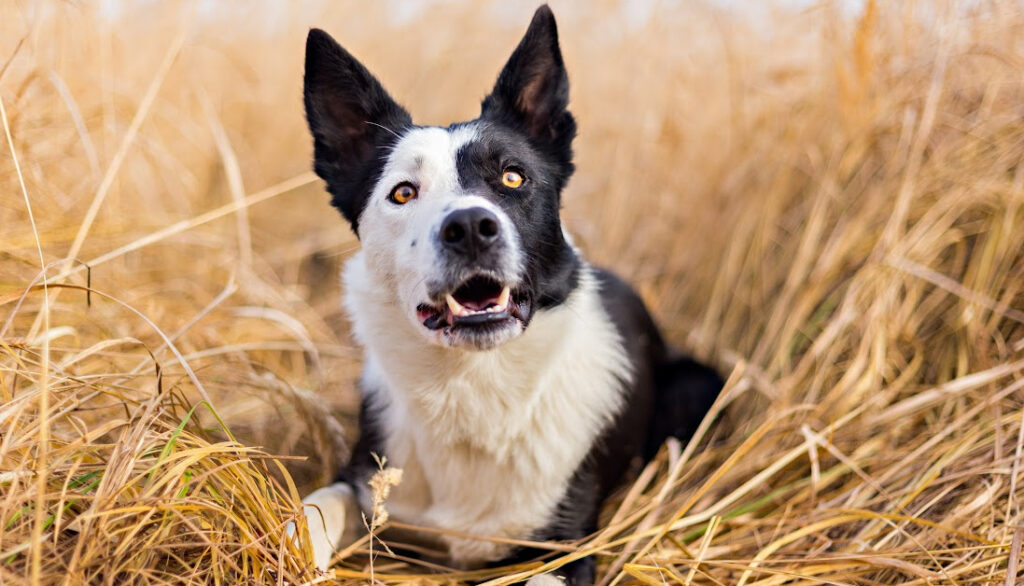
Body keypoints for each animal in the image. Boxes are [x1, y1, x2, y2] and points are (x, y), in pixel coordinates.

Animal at [299, 5, 724, 586]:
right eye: (403, 193)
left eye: (513, 177)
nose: (470, 227)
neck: (472, 385)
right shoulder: (364, 480)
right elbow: (312, 509)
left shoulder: (565, 545)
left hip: (695, 387)